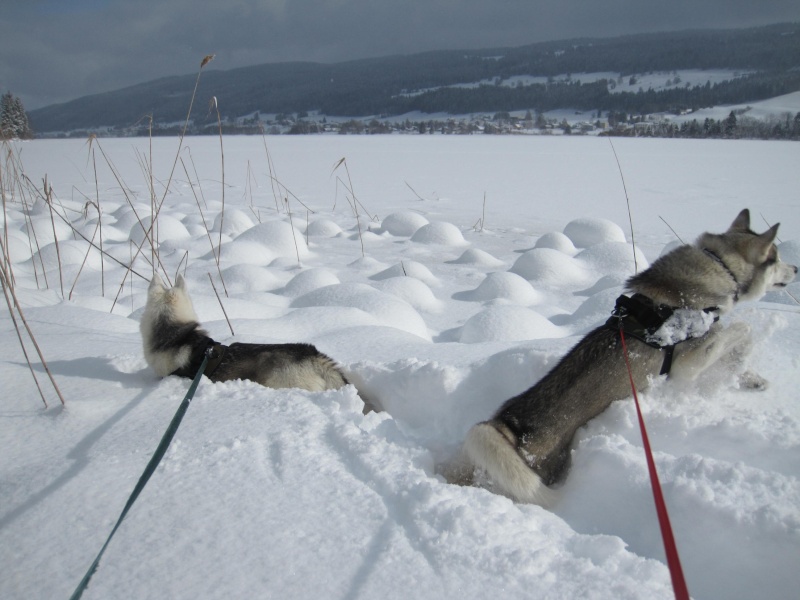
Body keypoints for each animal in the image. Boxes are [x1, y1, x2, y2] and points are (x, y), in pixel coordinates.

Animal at [460, 209, 796, 504]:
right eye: (777, 257)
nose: (796, 269)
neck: (720, 264)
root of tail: (508, 426)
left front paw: (752, 379)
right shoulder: (690, 362)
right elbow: (742, 330)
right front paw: (737, 365)